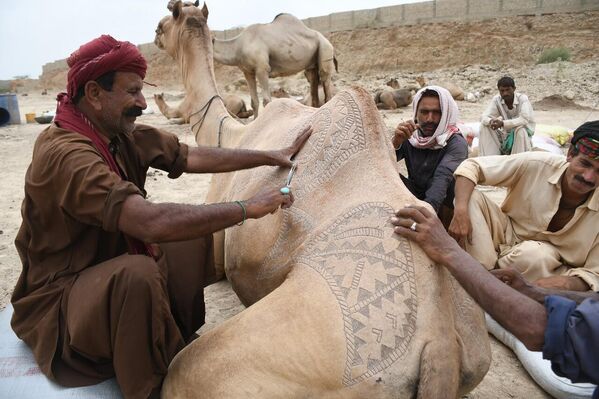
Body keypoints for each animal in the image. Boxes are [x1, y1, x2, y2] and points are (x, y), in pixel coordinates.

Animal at [162, 0, 338, 117]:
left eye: (185, 5)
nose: (169, 3)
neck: (238, 45)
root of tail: (327, 41)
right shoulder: (247, 71)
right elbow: (254, 101)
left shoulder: (262, 68)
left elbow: (267, 100)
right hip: (312, 63)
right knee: (314, 82)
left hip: (325, 48)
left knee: (326, 81)